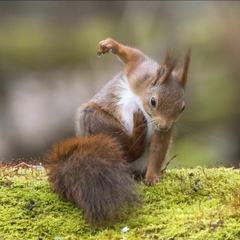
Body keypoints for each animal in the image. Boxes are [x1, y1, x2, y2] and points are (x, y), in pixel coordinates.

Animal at [45, 38, 191, 226]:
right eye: (153, 101)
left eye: (182, 108)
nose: (164, 126)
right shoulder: (139, 71)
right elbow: (133, 56)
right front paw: (110, 45)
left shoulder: (163, 130)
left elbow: (158, 150)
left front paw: (152, 177)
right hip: (94, 119)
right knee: (127, 148)